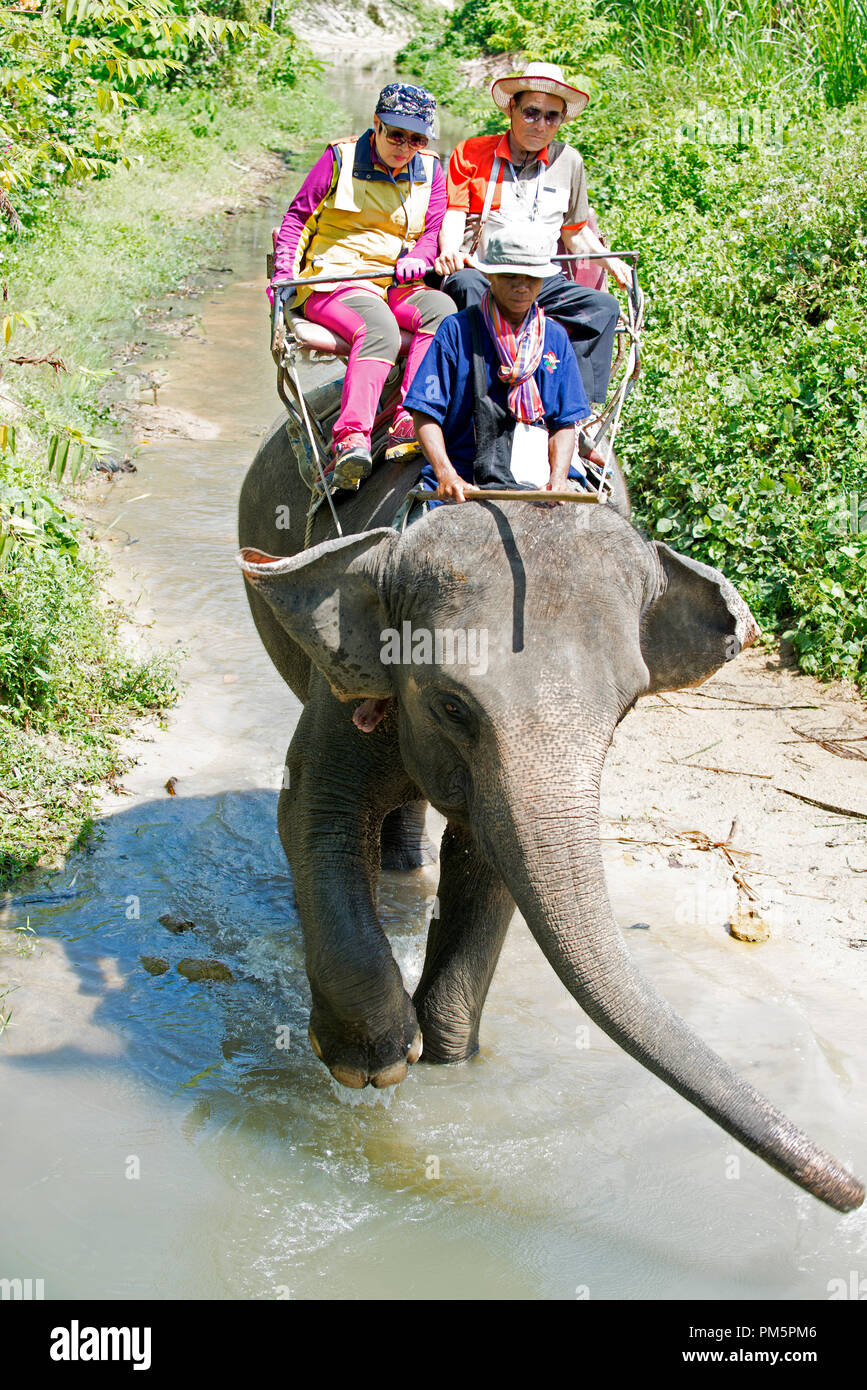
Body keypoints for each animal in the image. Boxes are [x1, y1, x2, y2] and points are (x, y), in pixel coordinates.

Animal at [233, 405, 861, 1217]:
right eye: (450, 703)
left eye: (624, 711)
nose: (852, 1195)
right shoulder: (344, 688)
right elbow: (311, 810)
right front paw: (372, 1064)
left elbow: (489, 859)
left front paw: (450, 1059)